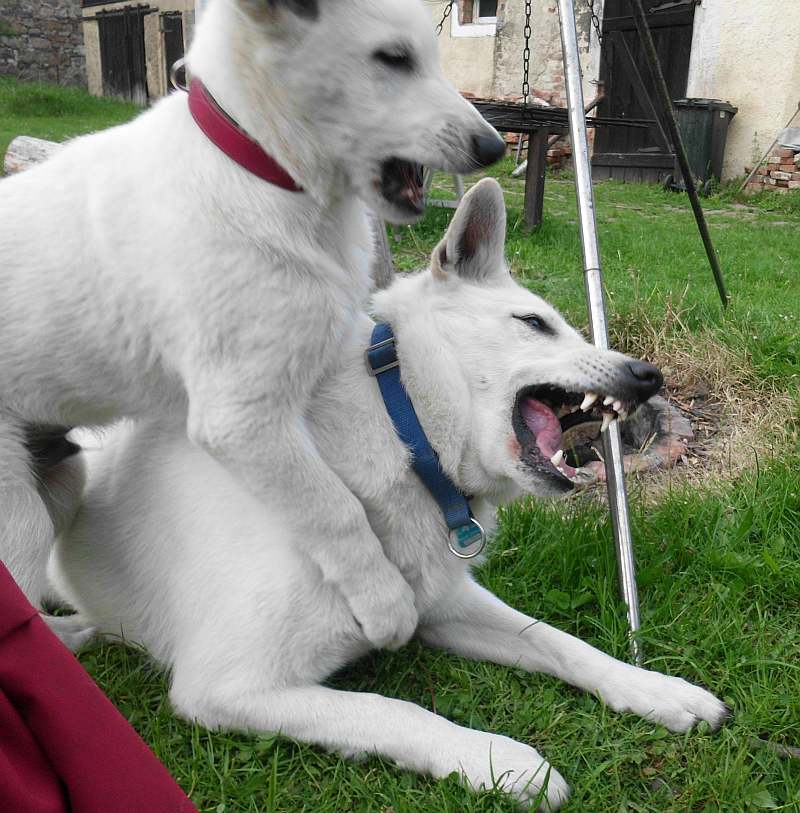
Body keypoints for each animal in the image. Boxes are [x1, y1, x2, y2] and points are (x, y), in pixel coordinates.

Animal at [0, 0, 504, 648]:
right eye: (392, 58)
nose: (493, 148)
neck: (263, 171)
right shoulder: (241, 419)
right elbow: (334, 507)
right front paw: (385, 603)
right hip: (18, 513)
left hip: (61, 477)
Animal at [48, 181, 724, 808]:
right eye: (533, 323)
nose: (649, 376)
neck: (405, 434)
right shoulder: (226, 685)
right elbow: (390, 708)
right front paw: (502, 761)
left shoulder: (447, 606)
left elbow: (560, 642)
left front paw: (658, 690)